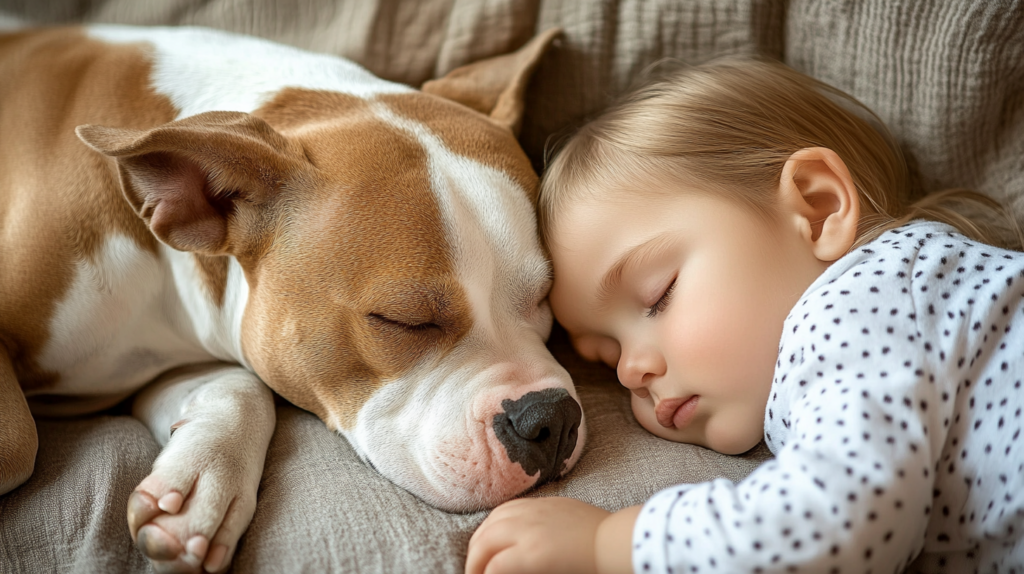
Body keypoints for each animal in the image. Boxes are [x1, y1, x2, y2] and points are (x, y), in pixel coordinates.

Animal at [0, 23, 585, 572]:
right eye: (403, 321)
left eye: (543, 297)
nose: (549, 419)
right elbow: (19, 444)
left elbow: (240, 387)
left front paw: (201, 483)